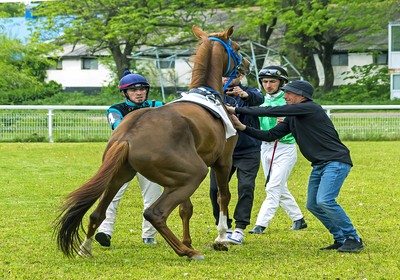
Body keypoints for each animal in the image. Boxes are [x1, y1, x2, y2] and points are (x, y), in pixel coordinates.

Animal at [55, 25, 250, 260]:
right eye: (237, 47)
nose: (247, 64)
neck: (207, 93)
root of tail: (128, 136)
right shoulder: (222, 161)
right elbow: (223, 197)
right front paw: (220, 238)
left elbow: (186, 209)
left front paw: (189, 239)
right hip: (193, 174)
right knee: (154, 213)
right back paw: (186, 251)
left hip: (122, 176)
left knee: (97, 214)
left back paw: (86, 249)